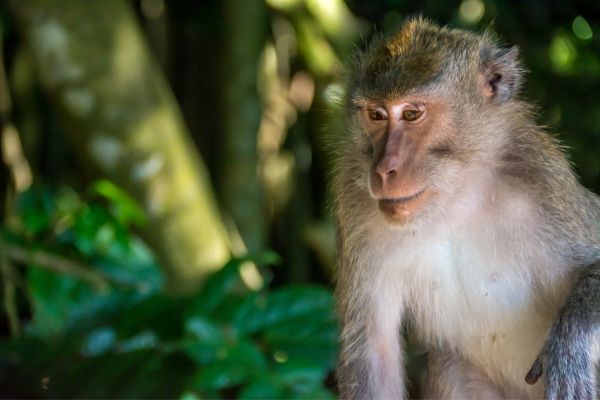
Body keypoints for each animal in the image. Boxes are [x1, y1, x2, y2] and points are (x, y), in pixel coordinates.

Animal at [332, 17, 600, 398]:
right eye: (376, 115)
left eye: (411, 114)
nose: (384, 169)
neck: (455, 198)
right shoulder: (354, 200)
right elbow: (373, 351)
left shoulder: (544, 182)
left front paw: (570, 340)